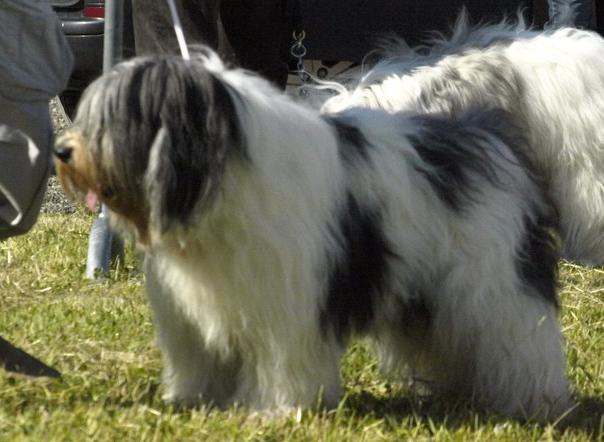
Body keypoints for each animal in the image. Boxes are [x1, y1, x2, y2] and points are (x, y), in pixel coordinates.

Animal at [54, 48, 571, 420]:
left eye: (116, 121)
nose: (62, 149)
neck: (215, 173)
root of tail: (481, 130)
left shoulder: (285, 303)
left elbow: (284, 359)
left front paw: (277, 409)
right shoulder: (195, 309)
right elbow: (201, 359)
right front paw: (194, 401)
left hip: (494, 282)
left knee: (520, 337)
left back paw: (535, 401)